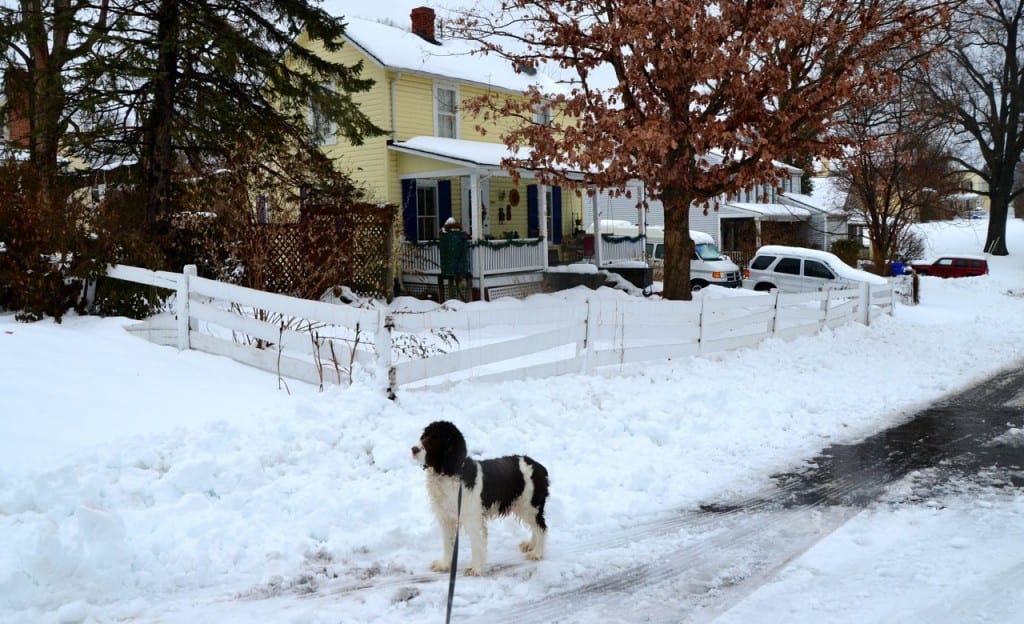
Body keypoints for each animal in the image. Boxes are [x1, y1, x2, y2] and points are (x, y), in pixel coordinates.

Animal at [409, 418, 548, 573]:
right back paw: (531, 545)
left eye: (435, 439)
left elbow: (476, 543)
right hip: (522, 506)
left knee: (541, 528)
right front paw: (444, 564)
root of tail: (539, 467)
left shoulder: (473, 519)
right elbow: (447, 543)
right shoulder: (446, 518)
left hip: (530, 505)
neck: (450, 473)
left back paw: (537, 553)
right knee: (536, 526)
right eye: (424, 436)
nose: (413, 449)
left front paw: (475, 568)